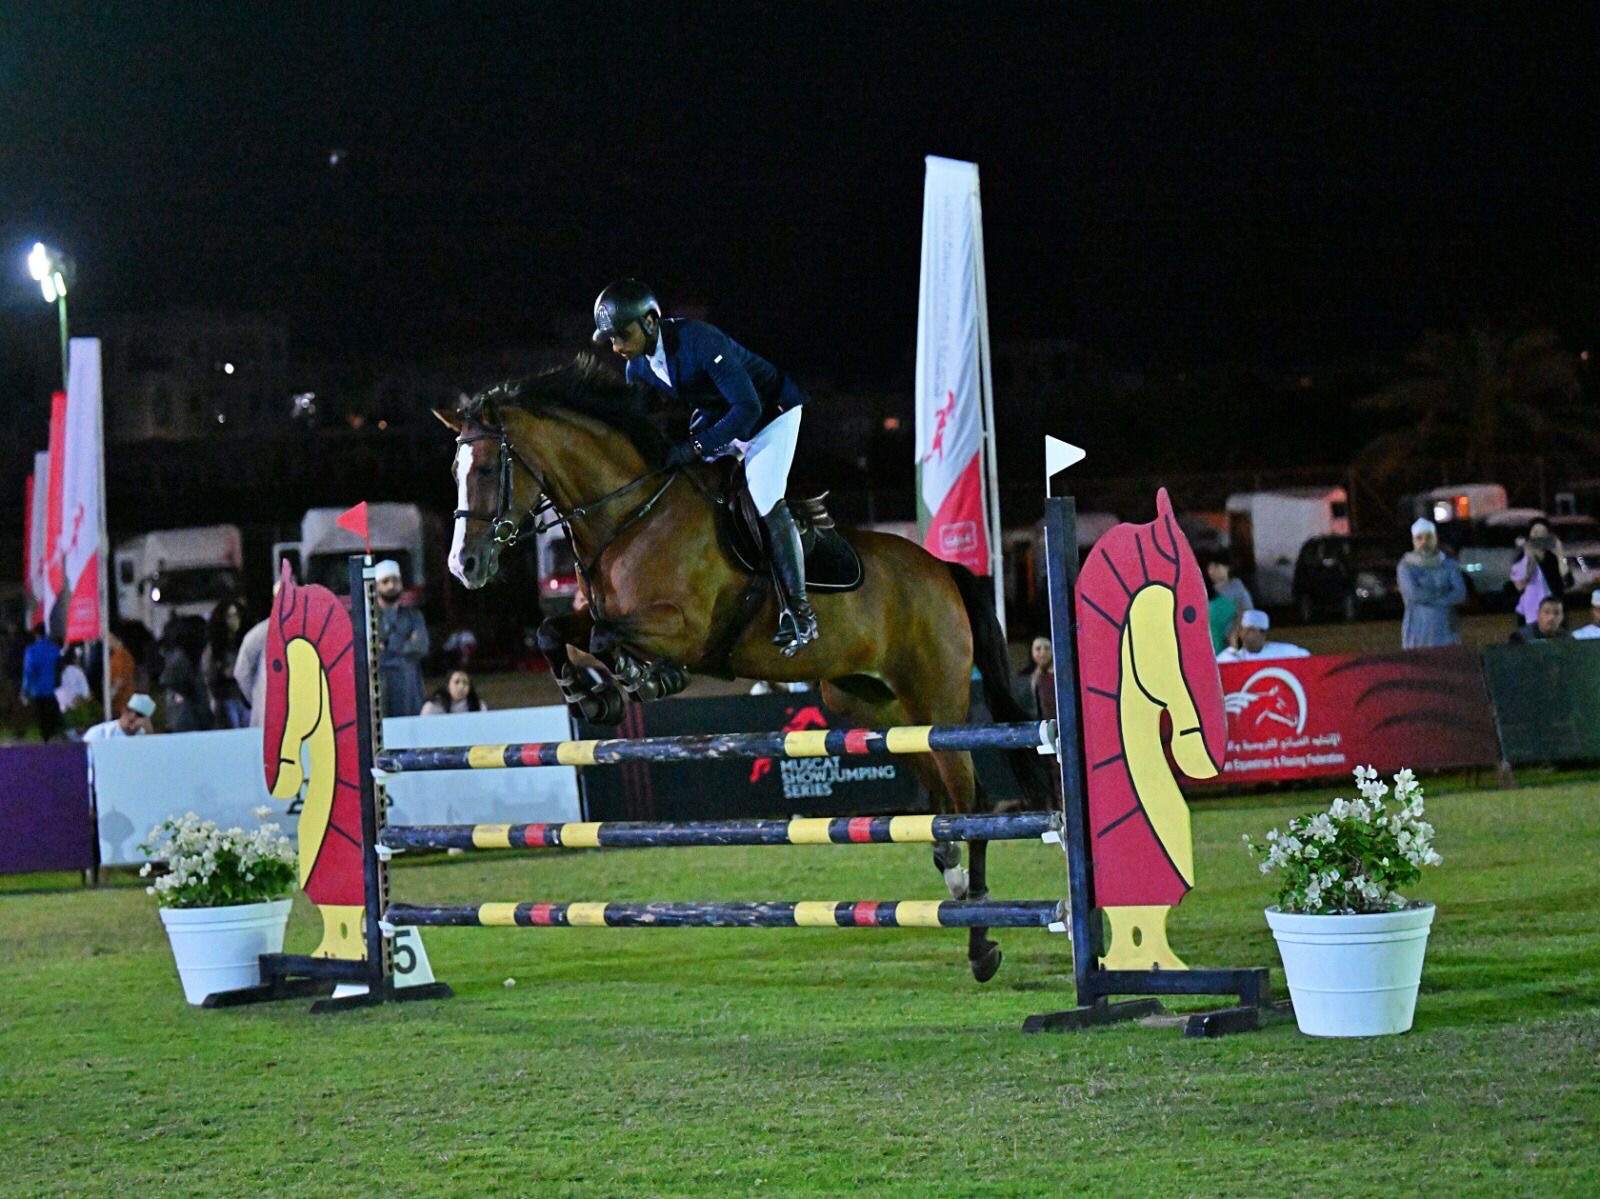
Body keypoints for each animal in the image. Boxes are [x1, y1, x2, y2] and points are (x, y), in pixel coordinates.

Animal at [433, 356, 1051, 982]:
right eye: (455, 469)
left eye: (487, 468)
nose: (464, 565)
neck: (631, 515)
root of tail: (943, 571)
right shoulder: (596, 613)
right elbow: (553, 630)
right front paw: (591, 696)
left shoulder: (684, 627)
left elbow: (609, 636)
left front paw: (645, 678)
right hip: (874, 705)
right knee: (940, 798)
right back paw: (952, 875)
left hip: (936, 698)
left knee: (971, 803)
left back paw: (981, 942)